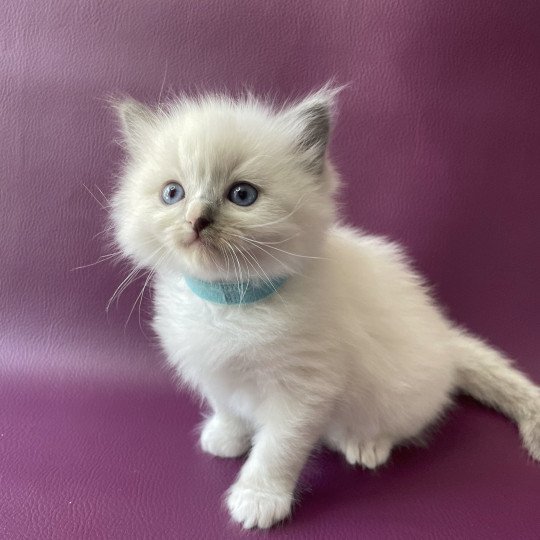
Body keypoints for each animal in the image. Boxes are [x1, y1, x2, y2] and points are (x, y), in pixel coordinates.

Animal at [110, 87, 540, 528]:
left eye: (242, 195)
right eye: (172, 193)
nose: (196, 219)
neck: (231, 302)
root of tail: (445, 337)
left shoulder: (303, 391)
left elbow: (275, 451)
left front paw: (258, 500)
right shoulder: (213, 371)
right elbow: (227, 406)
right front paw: (226, 438)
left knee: (400, 424)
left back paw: (366, 444)